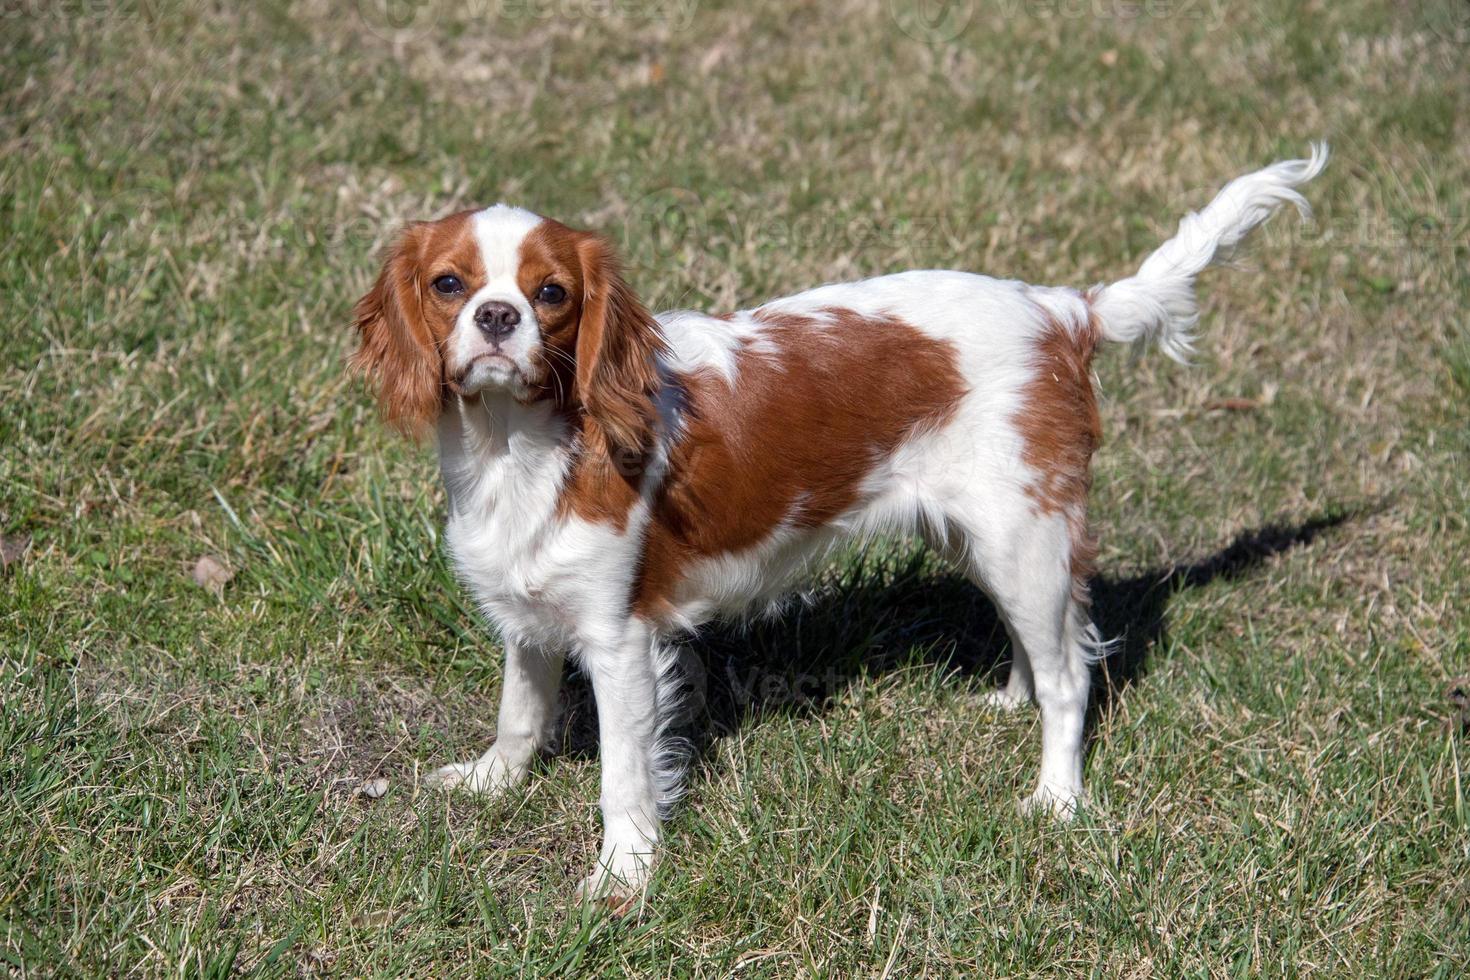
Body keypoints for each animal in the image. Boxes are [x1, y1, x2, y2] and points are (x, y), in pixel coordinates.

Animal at [352, 141, 1334, 899]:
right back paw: (1008, 697)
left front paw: (621, 877)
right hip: (983, 535)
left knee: (1072, 675)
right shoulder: (524, 608)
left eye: (551, 293)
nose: (497, 316)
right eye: (449, 283)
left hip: (1022, 534)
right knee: (1052, 638)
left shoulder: (620, 636)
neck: (524, 446)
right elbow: (520, 709)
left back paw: (1055, 798)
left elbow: (623, 775)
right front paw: (490, 785)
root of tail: (1061, 308)